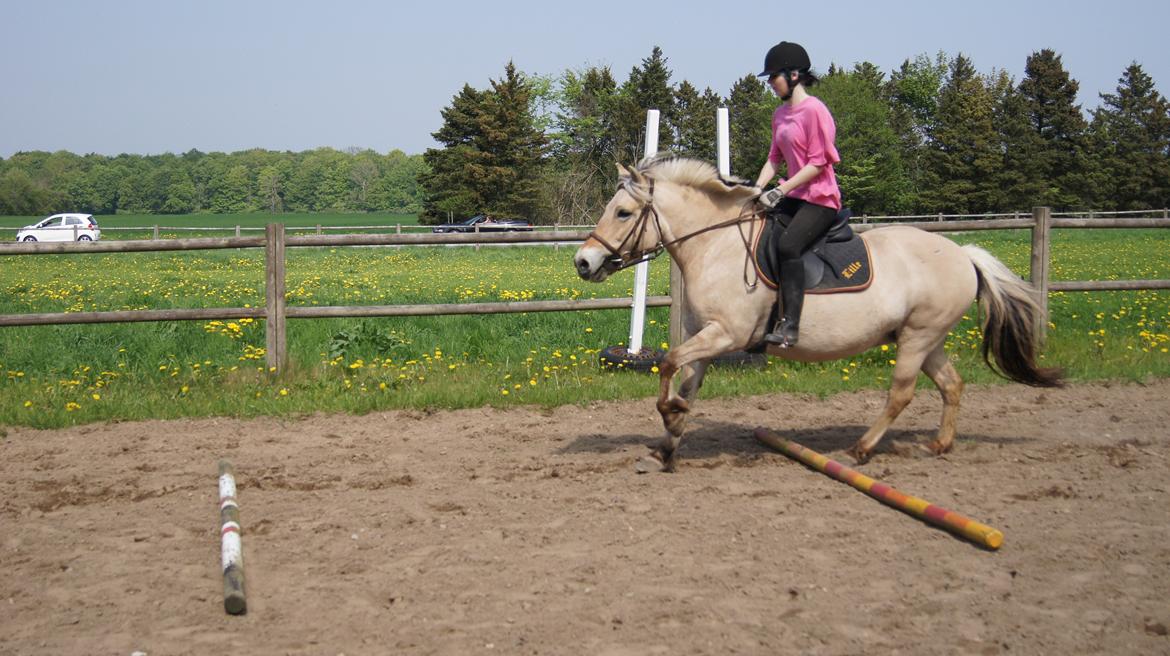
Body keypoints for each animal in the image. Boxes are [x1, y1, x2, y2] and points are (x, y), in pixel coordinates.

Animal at [575, 155, 1062, 470]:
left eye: (623, 212)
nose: (583, 262)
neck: (716, 246)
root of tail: (964, 254)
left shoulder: (728, 334)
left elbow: (668, 364)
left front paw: (670, 413)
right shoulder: (708, 338)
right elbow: (685, 381)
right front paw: (666, 443)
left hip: (919, 337)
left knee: (900, 394)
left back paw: (860, 450)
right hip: (926, 339)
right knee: (952, 385)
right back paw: (937, 446)